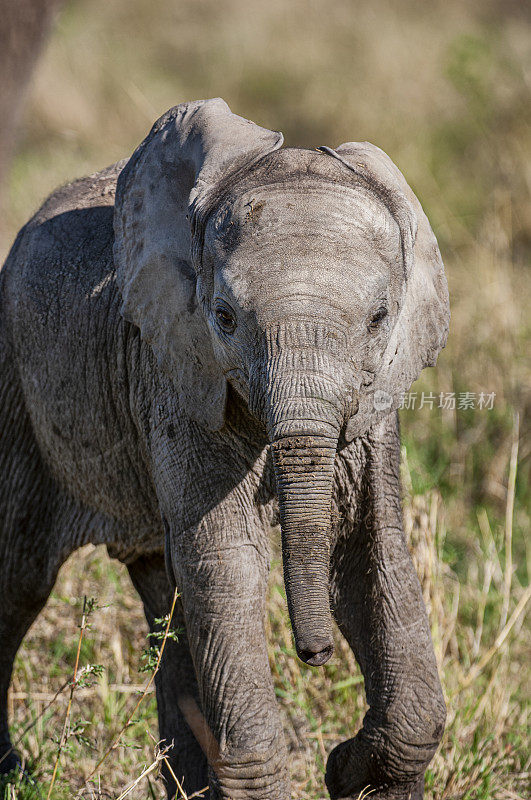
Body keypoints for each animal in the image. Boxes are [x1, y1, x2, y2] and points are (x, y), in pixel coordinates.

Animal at [0, 100, 448, 800]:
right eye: (224, 317)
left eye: (379, 319)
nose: (315, 655)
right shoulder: (178, 374)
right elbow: (228, 558)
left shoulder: (373, 409)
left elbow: (370, 553)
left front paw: (349, 772)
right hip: (16, 388)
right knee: (19, 579)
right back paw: (12, 771)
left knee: (166, 596)